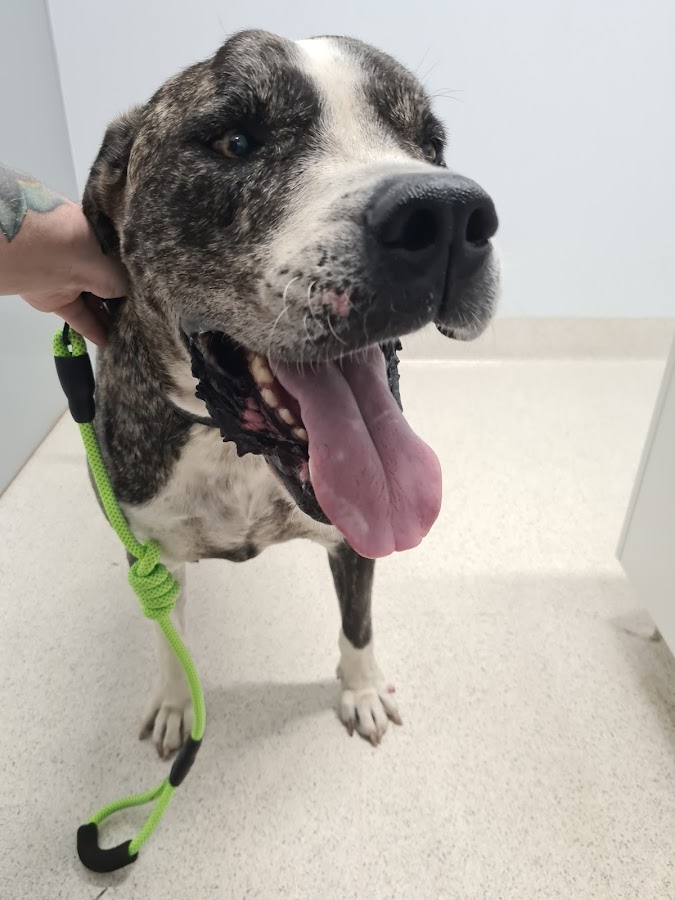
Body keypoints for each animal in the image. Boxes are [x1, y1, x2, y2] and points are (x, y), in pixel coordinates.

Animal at [82, 29, 500, 757]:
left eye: (430, 142)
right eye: (235, 141)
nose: (448, 213)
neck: (232, 451)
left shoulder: (355, 535)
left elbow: (358, 621)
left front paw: (361, 689)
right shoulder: (150, 553)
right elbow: (169, 639)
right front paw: (175, 703)